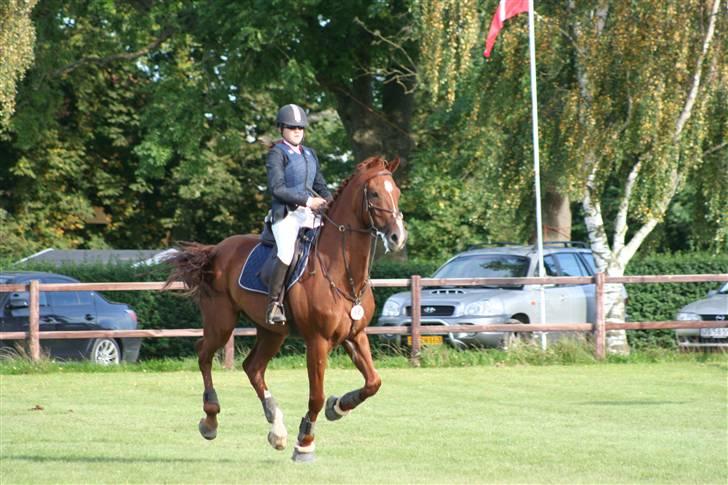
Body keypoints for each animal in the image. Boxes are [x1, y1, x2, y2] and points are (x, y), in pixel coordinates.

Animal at [166, 155, 410, 462]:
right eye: (375, 193)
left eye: (397, 192)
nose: (398, 237)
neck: (342, 271)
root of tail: (216, 250)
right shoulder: (317, 341)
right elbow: (316, 395)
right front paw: (305, 443)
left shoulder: (355, 335)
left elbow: (373, 383)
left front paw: (338, 407)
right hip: (221, 322)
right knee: (204, 354)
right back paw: (211, 420)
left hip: (272, 331)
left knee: (253, 368)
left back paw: (276, 429)